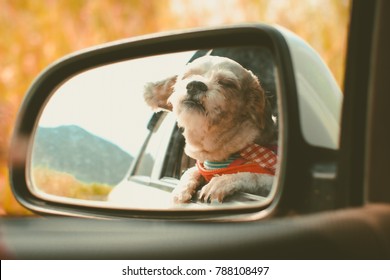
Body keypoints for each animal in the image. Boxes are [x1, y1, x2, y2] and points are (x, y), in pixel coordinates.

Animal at [144, 55, 278, 203]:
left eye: (227, 83)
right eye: (186, 76)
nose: (195, 85)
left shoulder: (269, 177)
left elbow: (251, 175)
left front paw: (219, 182)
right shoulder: (201, 167)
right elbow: (191, 171)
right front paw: (181, 189)